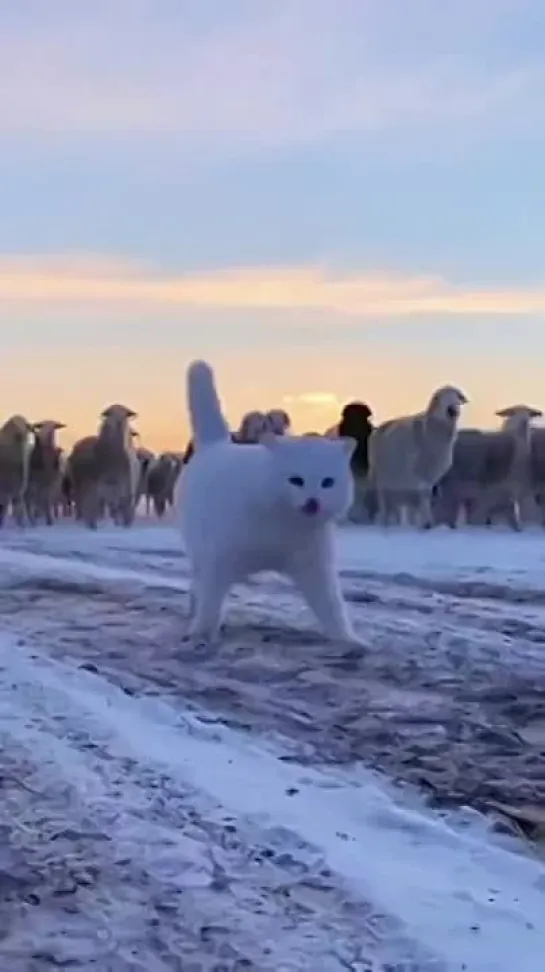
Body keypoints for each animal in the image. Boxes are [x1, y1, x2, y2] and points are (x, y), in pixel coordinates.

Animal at [68, 404, 139, 532]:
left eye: (126, 414)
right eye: (110, 413)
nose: (119, 422)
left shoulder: (123, 487)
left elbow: (118, 508)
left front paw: (120, 524)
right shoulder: (99, 487)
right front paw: (93, 525)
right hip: (81, 485)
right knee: (82, 503)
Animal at [176, 360, 360, 640]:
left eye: (328, 482)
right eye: (296, 480)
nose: (313, 502)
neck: (280, 523)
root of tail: (216, 444)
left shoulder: (315, 566)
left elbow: (333, 607)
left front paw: (349, 639)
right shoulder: (219, 559)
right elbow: (210, 601)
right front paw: (202, 631)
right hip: (199, 547)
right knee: (198, 584)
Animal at [368, 386, 466, 528]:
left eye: (457, 396)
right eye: (442, 396)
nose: (453, 410)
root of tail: (380, 428)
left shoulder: (430, 475)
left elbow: (426, 495)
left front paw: (426, 521)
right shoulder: (417, 471)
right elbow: (423, 494)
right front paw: (426, 522)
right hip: (383, 476)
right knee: (385, 500)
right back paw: (386, 522)